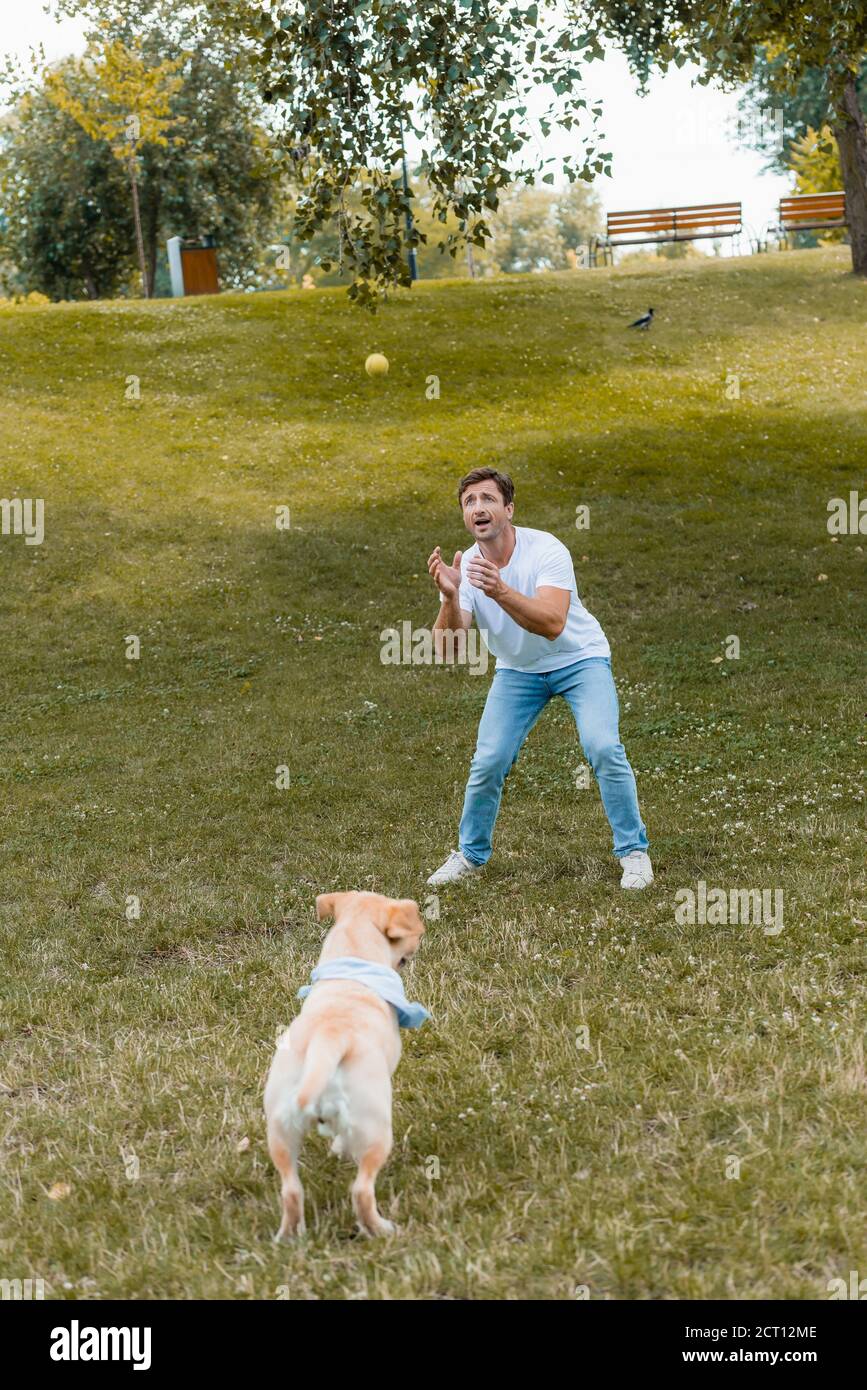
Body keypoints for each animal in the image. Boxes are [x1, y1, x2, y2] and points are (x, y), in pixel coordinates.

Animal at [262, 895, 427, 1245]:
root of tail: (329, 1039)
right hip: (376, 1130)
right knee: (362, 1190)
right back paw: (381, 1229)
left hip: (280, 1132)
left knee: (291, 1191)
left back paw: (288, 1236)